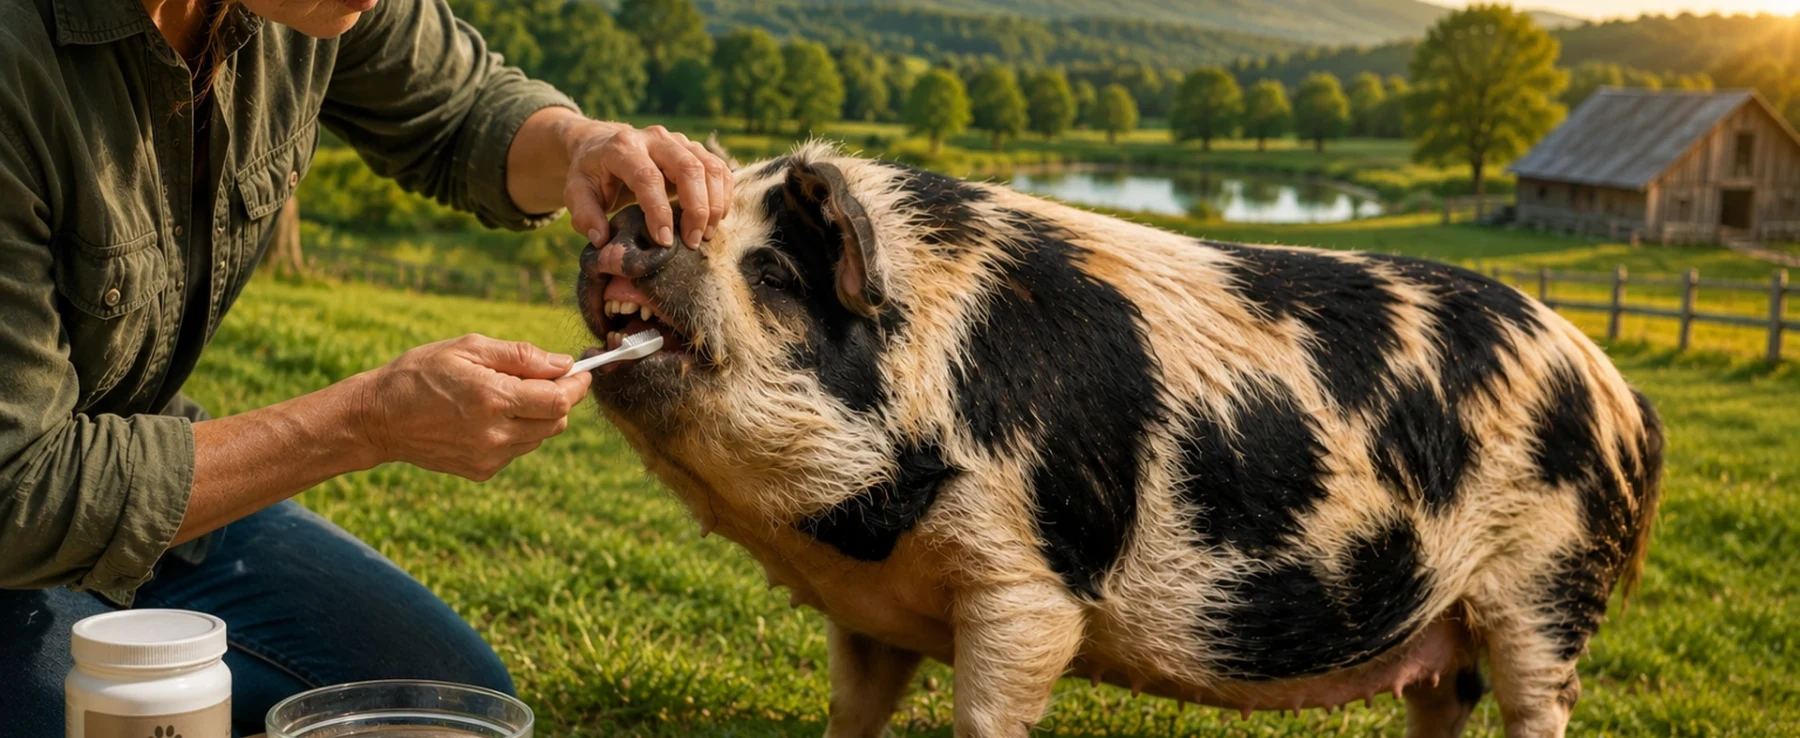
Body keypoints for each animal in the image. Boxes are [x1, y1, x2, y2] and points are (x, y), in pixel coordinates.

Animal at [574, 142, 1663, 738]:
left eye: (771, 272)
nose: (629, 219)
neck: (866, 530)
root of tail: (1619, 390)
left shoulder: (1030, 582)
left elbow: (989, 709)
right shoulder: (870, 613)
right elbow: (853, 710)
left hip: (1547, 585)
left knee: (1539, 701)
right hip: (1452, 618)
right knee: (1442, 700)